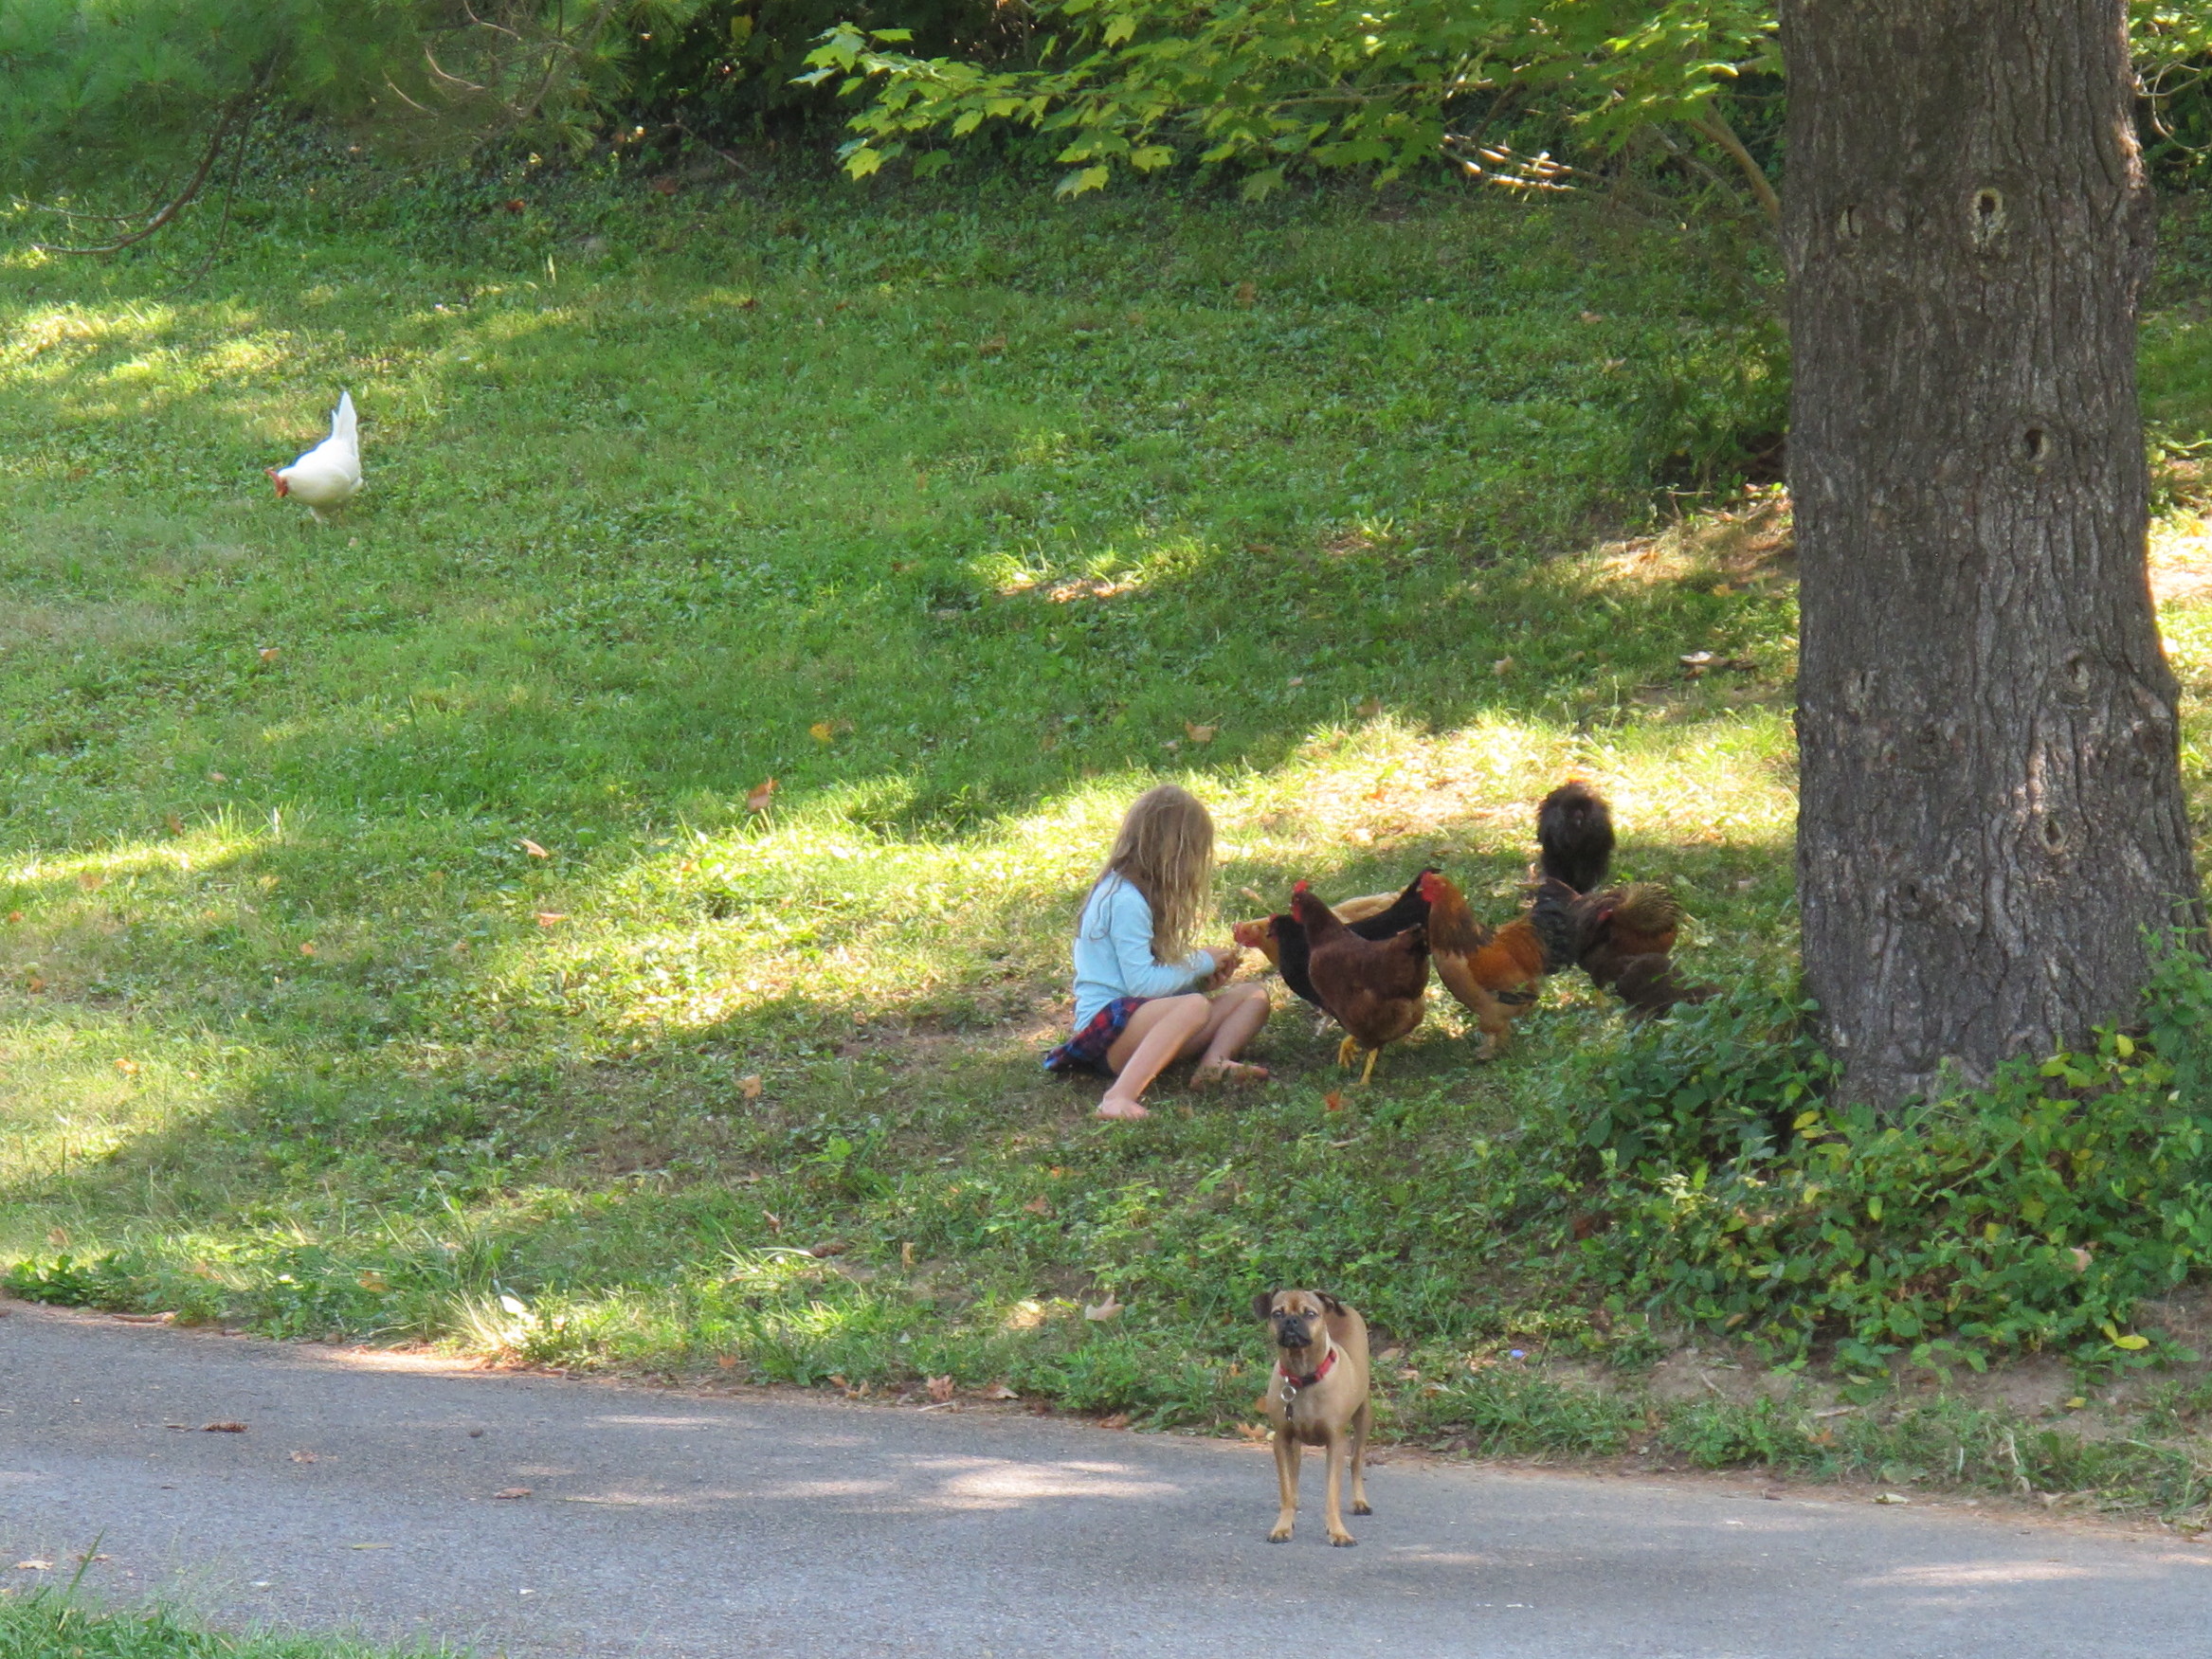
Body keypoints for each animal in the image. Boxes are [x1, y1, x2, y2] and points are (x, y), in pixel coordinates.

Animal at [1256, 1291, 1371, 1557]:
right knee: (1294, 1472)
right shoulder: (1281, 1438)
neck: (1303, 1375)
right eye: (1277, 1313)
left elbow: (1332, 1494)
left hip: (1363, 1414)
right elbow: (1286, 1486)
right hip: (1293, 1441)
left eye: (1310, 1314)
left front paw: (1338, 1532)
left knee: (1357, 1460)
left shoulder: (1336, 1442)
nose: (1291, 1321)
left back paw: (1360, 1501)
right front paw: (1283, 1526)